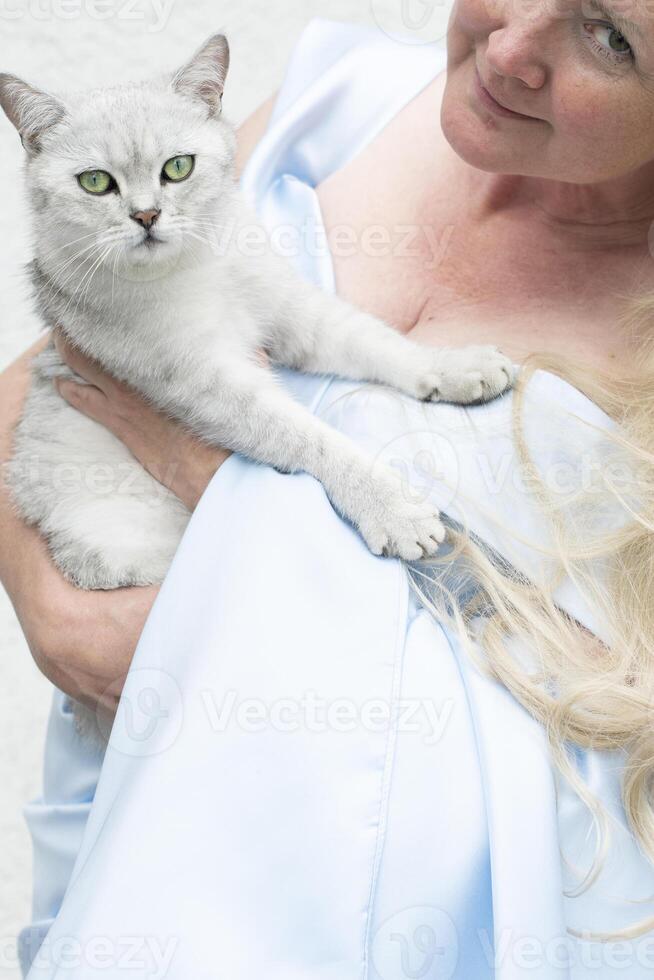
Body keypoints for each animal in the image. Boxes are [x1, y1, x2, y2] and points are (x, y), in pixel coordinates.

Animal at [0, 36, 516, 588]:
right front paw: (390, 507)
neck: (197, 267)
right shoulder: (204, 380)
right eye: (95, 182)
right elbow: (308, 438)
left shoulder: (293, 312)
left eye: (178, 167)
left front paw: (456, 367)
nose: (146, 215)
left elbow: (376, 342)